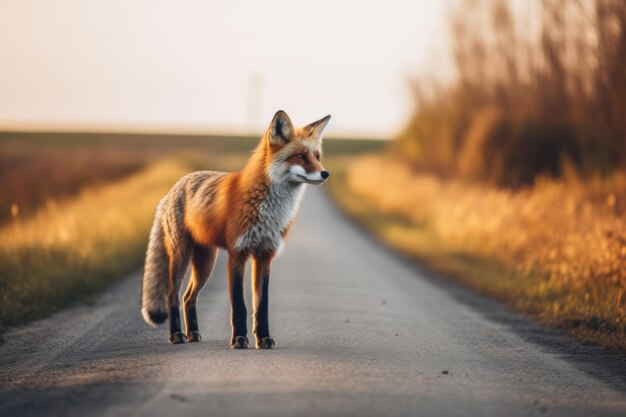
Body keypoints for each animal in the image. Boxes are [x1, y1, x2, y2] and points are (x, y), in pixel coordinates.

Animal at [139, 109, 330, 348]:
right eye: (300, 157)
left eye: (317, 157)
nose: (325, 174)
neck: (267, 210)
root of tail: (172, 189)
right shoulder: (237, 253)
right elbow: (239, 305)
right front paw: (239, 338)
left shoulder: (265, 255)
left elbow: (261, 306)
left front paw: (263, 338)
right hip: (182, 257)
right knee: (172, 297)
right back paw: (176, 336)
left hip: (206, 264)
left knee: (188, 297)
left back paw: (193, 333)